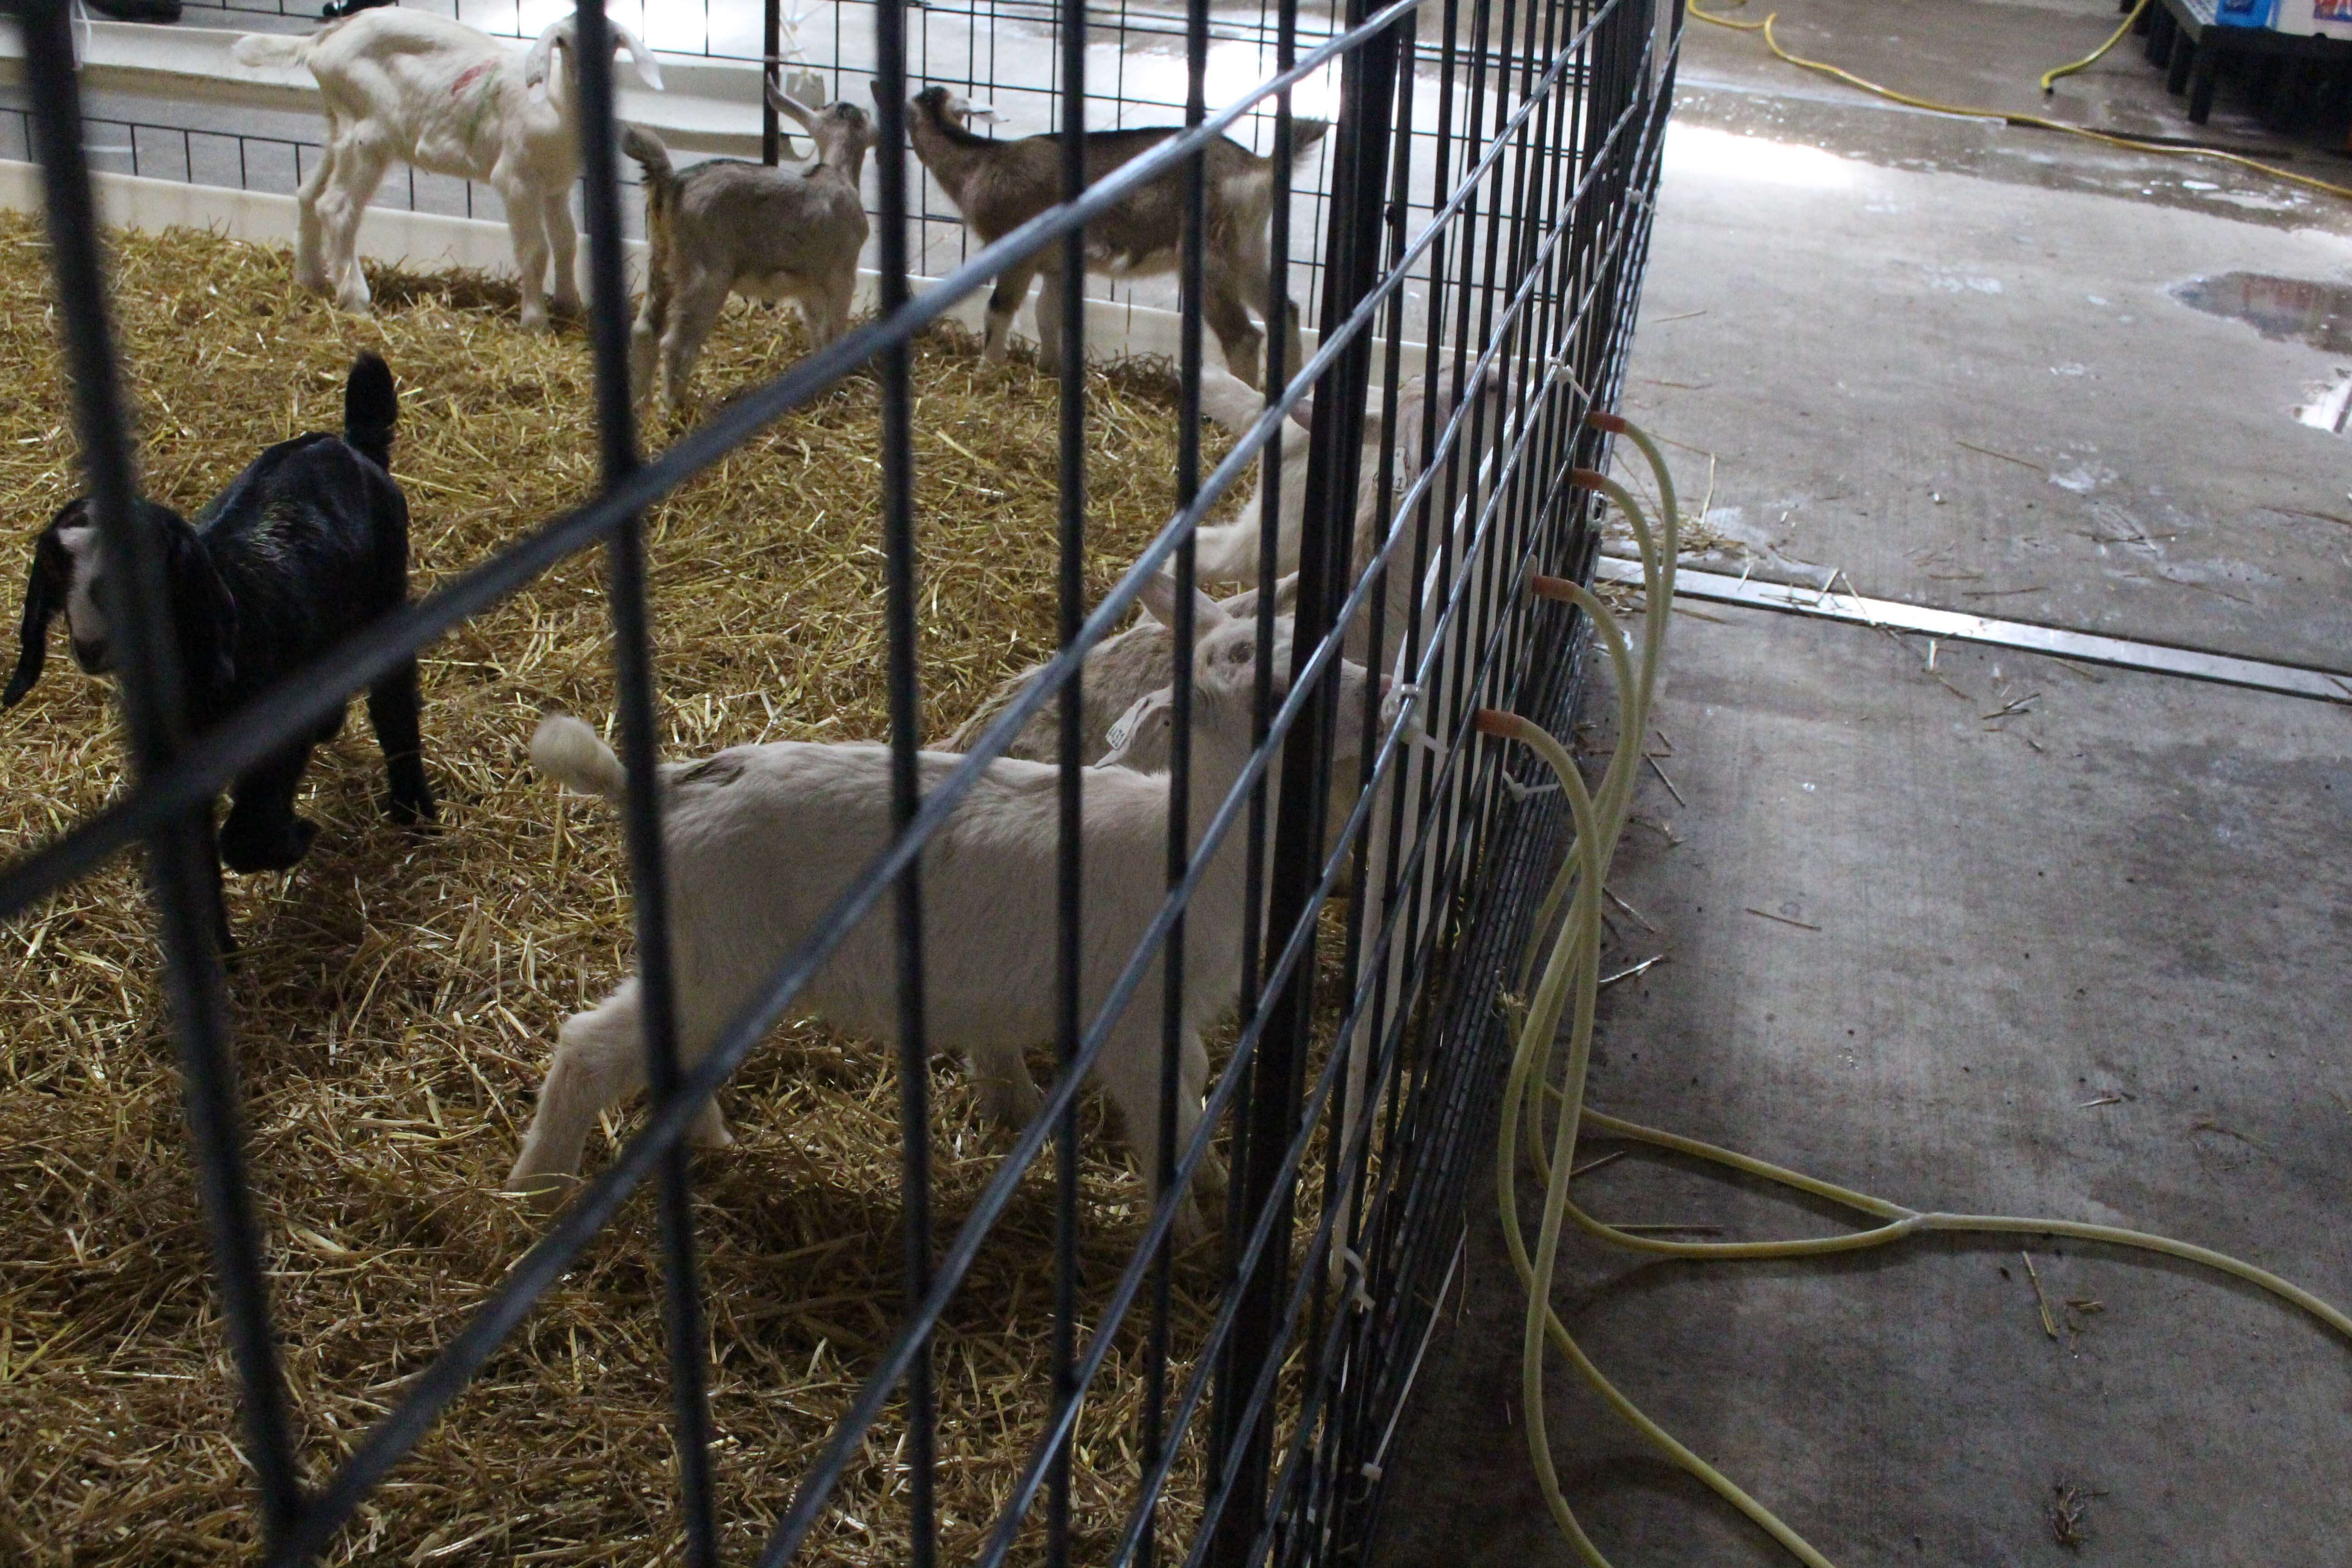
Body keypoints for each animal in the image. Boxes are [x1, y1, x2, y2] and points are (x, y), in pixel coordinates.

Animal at [7, 350, 437, 950]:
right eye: (55, 565)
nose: (91, 644)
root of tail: (350, 444)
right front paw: (218, 954)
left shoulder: (271, 740)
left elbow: (245, 835)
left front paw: (297, 836)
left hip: (386, 593)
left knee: (393, 698)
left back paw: (412, 809)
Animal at [233, 12, 663, 333]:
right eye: (563, 42)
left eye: (614, 43)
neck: (557, 108)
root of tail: (321, 44)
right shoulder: (516, 180)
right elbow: (535, 250)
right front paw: (535, 322)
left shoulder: (557, 185)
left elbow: (567, 242)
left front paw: (570, 304)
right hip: (369, 134)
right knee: (336, 208)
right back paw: (355, 299)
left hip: (339, 125)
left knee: (308, 193)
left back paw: (311, 279)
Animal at [505, 583, 1373, 1241]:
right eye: (1265, 686)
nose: (1382, 689)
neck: (1190, 835)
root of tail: (667, 786)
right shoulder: (1131, 1013)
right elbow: (1163, 1118)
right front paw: (1184, 1233)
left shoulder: (1176, 1012)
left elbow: (1192, 1093)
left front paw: (1218, 1184)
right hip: (717, 959)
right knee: (588, 1049)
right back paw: (534, 1193)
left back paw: (710, 1144)